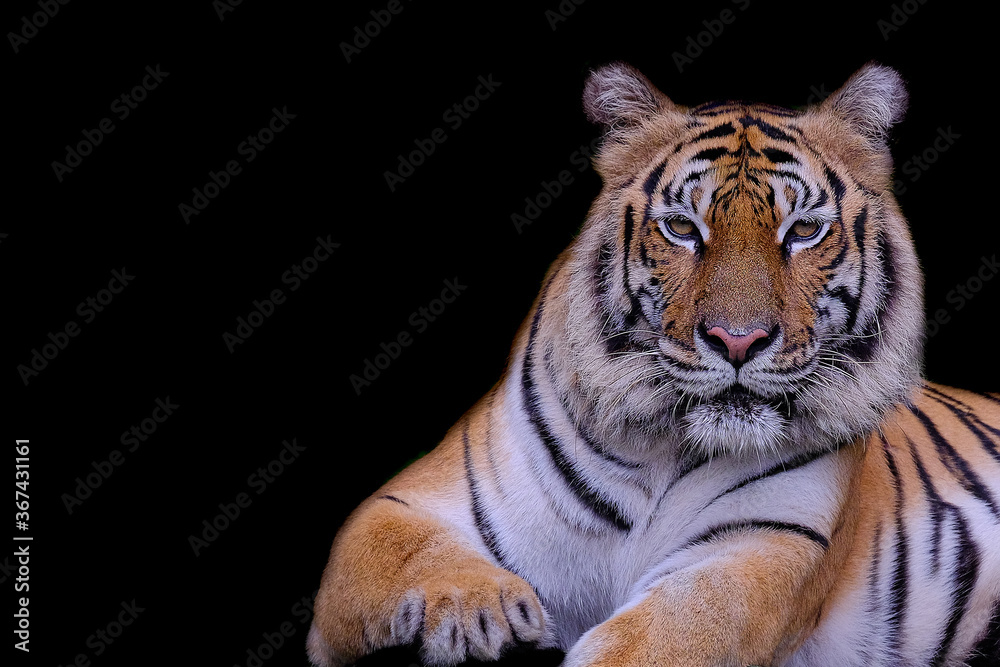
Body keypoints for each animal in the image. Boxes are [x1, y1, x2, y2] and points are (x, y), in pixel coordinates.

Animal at [306, 62, 1000, 667]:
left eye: (802, 232)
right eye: (682, 228)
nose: (738, 341)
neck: (663, 448)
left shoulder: (765, 540)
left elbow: (667, 631)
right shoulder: (401, 503)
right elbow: (401, 548)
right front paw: (480, 612)